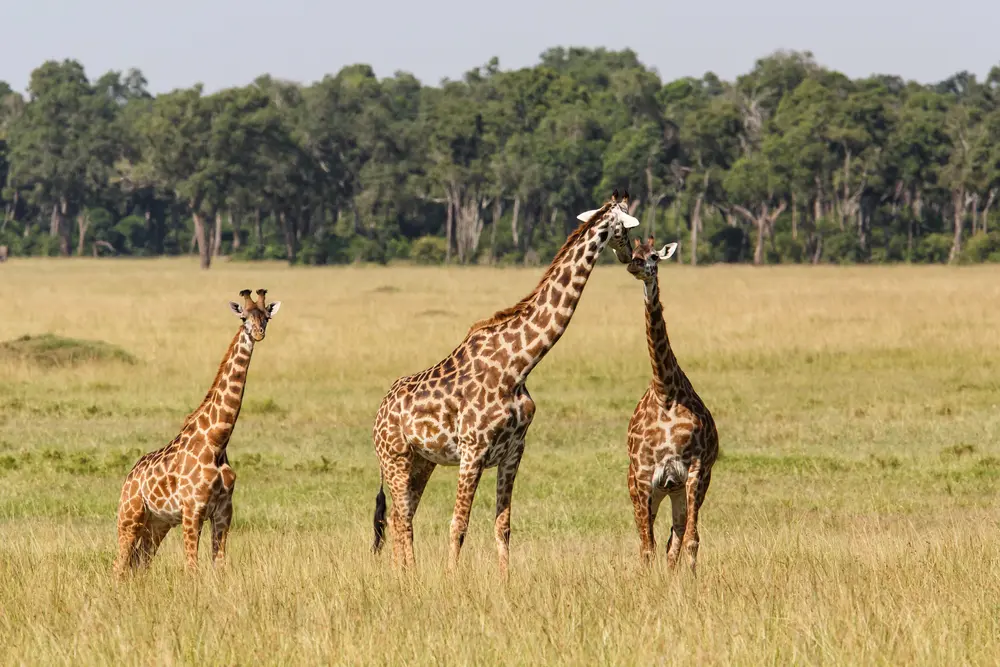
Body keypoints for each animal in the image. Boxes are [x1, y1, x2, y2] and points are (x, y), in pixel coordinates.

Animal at [113, 289, 280, 575]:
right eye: (244, 317)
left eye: (266, 316)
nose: (258, 333)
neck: (217, 441)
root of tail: (130, 476)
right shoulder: (192, 510)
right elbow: (192, 567)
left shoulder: (224, 511)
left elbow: (219, 564)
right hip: (130, 515)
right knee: (119, 564)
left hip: (158, 523)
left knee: (141, 562)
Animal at [371, 190, 639, 576]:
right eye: (627, 228)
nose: (629, 256)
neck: (519, 366)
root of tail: (379, 412)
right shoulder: (472, 450)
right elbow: (459, 524)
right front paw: (452, 579)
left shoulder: (513, 451)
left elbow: (503, 525)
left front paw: (505, 580)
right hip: (395, 457)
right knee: (402, 517)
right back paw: (408, 576)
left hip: (422, 462)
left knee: (398, 515)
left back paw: (405, 574)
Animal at [624, 235, 718, 573]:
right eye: (633, 252)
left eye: (654, 255)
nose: (636, 265)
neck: (665, 392)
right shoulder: (643, 476)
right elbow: (646, 546)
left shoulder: (695, 471)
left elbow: (690, 540)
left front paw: (689, 580)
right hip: (645, 488)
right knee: (650, 540)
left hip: (677, 489)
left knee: (675, 537)